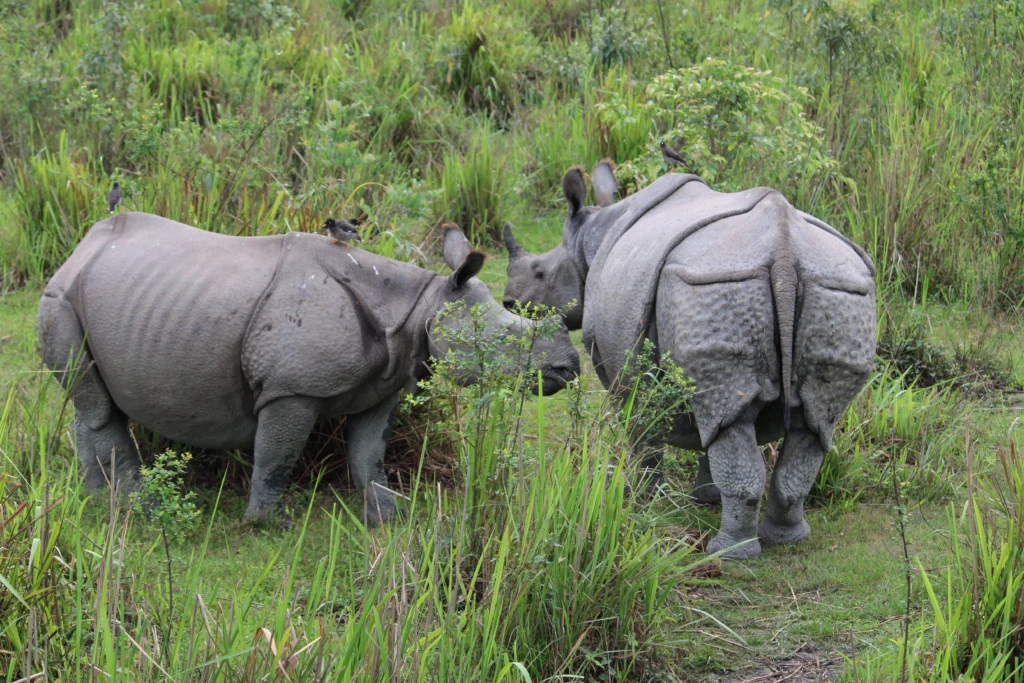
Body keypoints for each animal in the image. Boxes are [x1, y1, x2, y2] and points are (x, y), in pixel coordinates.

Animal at [38, 213, 580, 524]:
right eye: (505, 339)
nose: (568, 368)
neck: (421, 305)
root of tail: (79, 248)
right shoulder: (290, 388)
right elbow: (277, 455)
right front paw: (270, 524)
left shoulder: (385, 383)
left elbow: (368, 455)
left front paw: (391, 516)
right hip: (59, 297)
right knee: (99, 408)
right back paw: (139, 510)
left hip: (99, 296)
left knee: (91, 404)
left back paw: (95, 503)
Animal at [503, 163, 876, 559]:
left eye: (540, 272)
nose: (509, 302)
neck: (589, 238)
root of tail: (785, 250)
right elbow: (707, 429)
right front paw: (706, 497)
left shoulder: (618, 365)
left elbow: (641, 428)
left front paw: (644, 499)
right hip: (834, 289)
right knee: (807, 422)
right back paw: (787, 538)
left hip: (716, 283)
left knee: (735, 420)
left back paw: (726, 553)